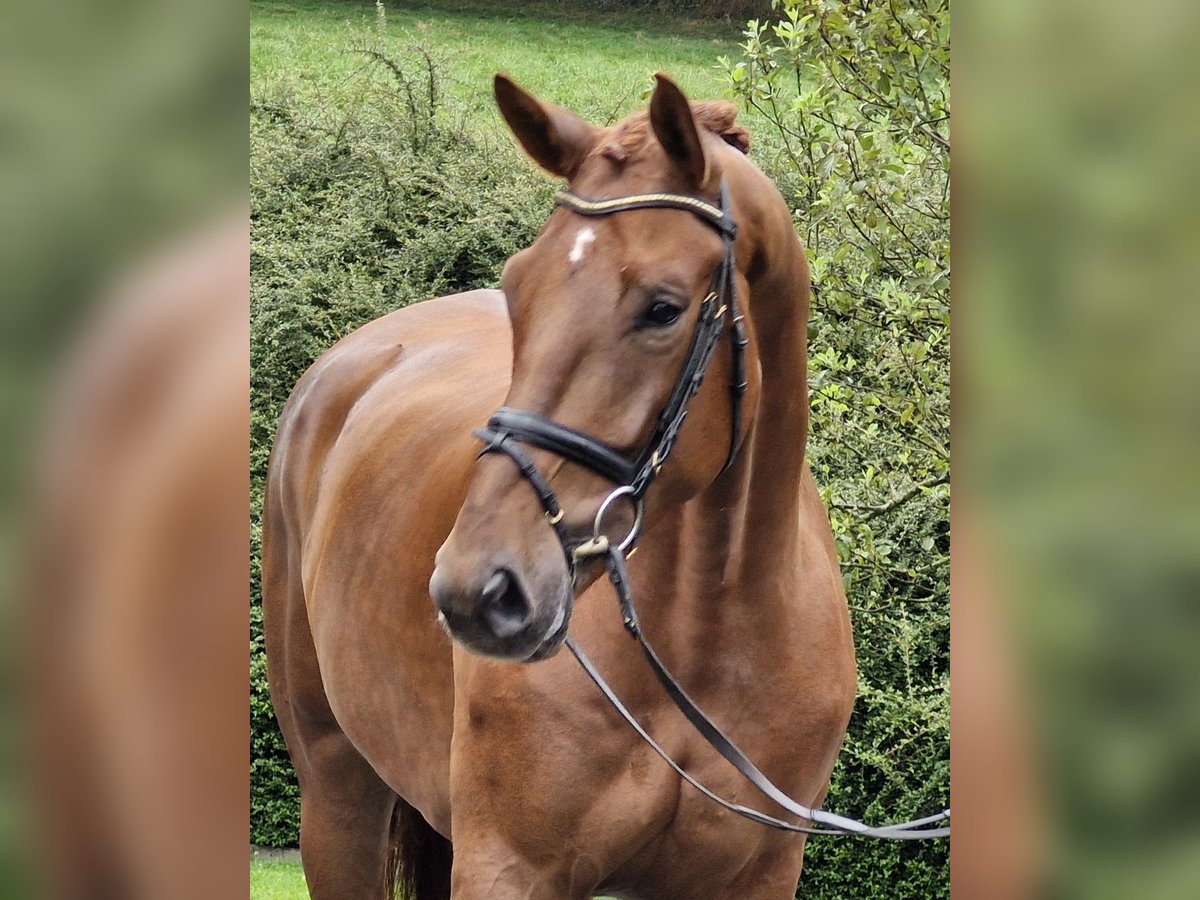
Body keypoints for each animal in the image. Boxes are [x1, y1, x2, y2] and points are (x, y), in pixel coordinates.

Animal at [266, 74, 859, 897]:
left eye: (663, 308)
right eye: (517, 287)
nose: (478, 590)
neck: (706, 630)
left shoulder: (757, 879)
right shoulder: (508, 868)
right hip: (335, 791)